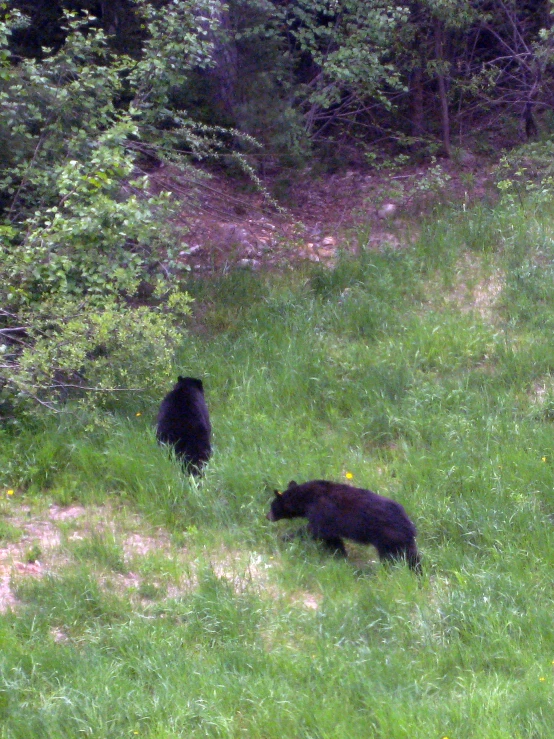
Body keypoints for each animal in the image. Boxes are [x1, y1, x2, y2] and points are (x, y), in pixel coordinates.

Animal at [266, 480, 418, 572]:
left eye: (272, 506)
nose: (267, 516)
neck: (308, 498)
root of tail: (408, 525)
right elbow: (332, 539)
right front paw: (341, 557)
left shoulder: (322, 511)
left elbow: (316, 531)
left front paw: (285, 537)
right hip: (401, 540)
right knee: (412, 556)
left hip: (388, 536)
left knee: (393, 556)